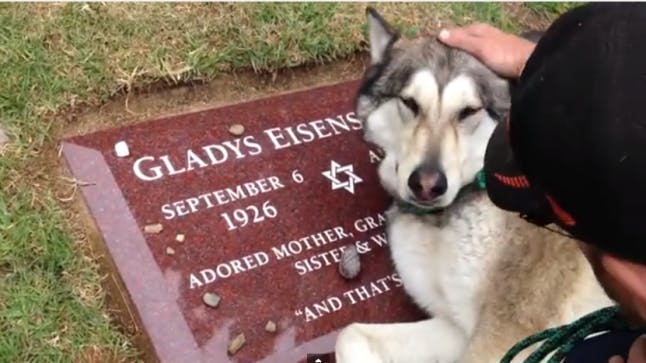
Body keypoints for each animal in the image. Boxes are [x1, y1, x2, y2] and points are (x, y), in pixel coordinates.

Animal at [336, 7, 616, 363]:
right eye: (410, 103)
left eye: (469, 111)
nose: (427, 185)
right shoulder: (456, 326)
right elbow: (348, 333)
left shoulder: (506, 334)